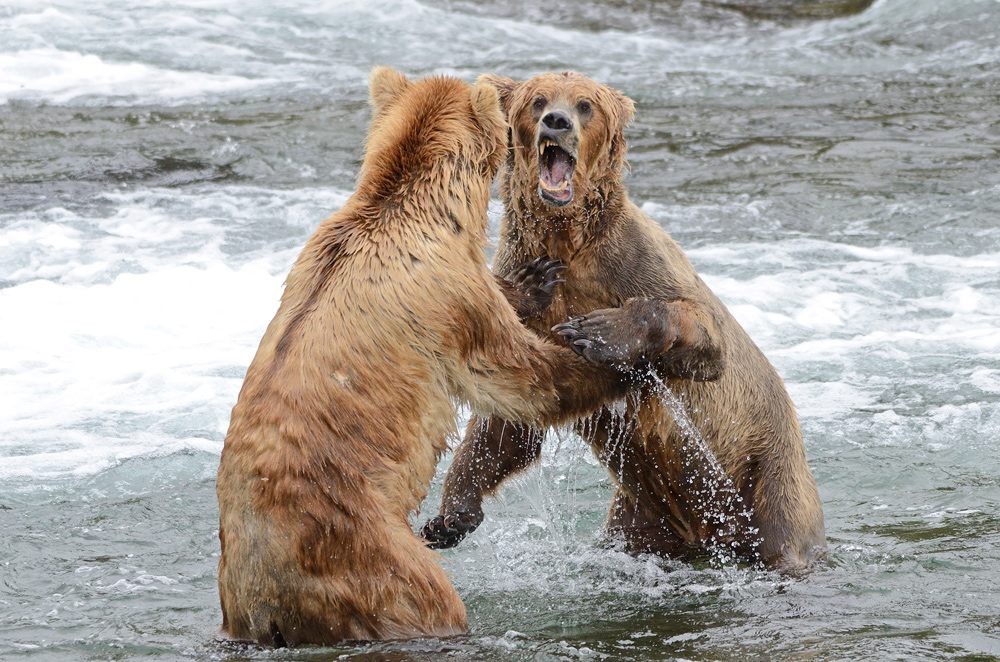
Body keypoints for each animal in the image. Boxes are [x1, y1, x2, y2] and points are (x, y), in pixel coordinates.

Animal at [215, 68, 628, 648]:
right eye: (514, 103)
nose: (541, 112)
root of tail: (268, 587)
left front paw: (532, 279)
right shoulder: (450, 301)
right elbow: (522, 378)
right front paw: (629, 351)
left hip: (245, 593)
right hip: (366, 552)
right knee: (425, 598)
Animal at [422, 72, 828, 576]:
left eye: (585, 104)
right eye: (537, 100)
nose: (557, 121)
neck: (566, 239)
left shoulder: (634, 262)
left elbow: (703, 334)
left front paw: (597, 332)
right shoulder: (522, 301)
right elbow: (511, 420)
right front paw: (449, 516)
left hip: (767, 478)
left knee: (780, 529)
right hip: (640, 518)